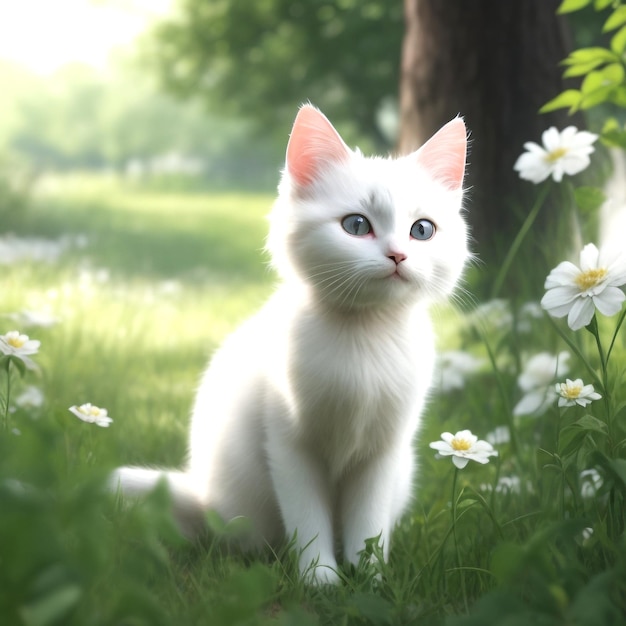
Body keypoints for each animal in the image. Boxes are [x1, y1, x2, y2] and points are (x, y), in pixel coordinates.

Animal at [114, 105, 468, 584]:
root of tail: (207, 501)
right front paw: (321, 579)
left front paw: (370, 578)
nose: (398, 255)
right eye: (357, 225)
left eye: (423, 230)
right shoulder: (289, 445)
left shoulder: (383, 452)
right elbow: (308, 519)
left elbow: (368, 524)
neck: (363, 335)